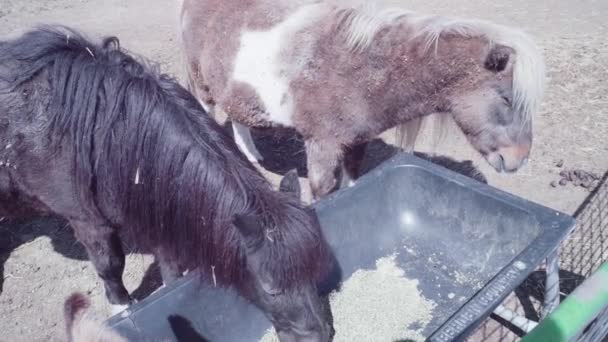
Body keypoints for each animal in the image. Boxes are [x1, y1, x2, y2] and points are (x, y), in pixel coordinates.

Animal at [179, 0, 548, 199]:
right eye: (506, 98)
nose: (518, 160)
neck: (364, 70)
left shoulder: (356, 142)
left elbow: (352, 183)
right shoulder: (322, 144)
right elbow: (323, 190)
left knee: (238, 116)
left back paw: (252, 155)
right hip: (202, 86)